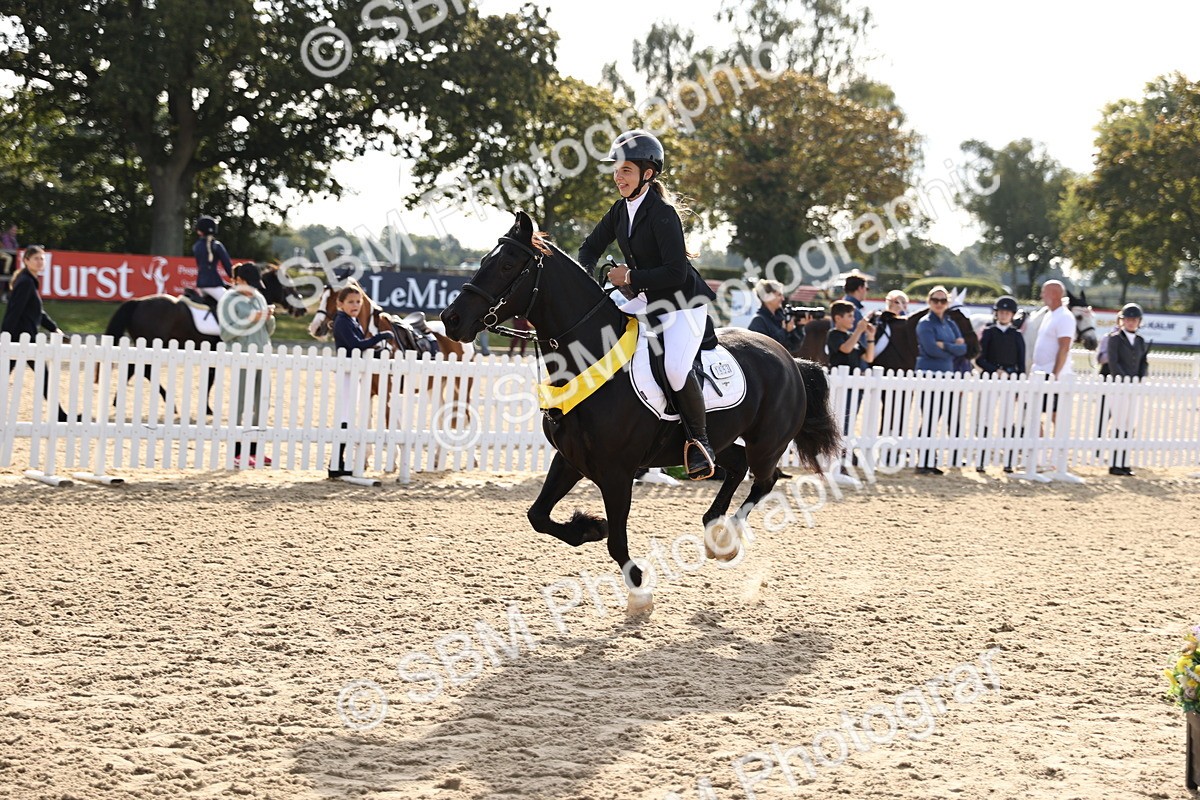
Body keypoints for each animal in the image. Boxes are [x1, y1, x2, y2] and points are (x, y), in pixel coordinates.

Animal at [103, 263, 307, 414]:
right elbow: (211, 379)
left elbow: (210, 378)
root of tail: (138, 302)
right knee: (144, 371)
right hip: (151, 343)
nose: (302, 310)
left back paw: (117, 401)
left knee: (134, 369)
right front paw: (208, 409)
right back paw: (169, 404)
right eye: (288, 286)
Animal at [441, 211, 841, 611]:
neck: (590, 355)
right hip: (715, 443)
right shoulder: (570, 459)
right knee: (735, 466)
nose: (450, 319)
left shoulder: (617, 472)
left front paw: (639, 591)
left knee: (764, 479)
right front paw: (589, 526)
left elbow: (616, 540)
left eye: (507, 265)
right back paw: (715, 533)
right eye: (483, 260)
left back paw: (726, 539)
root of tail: (790, 358)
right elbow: (538, 515)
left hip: (767, 443)